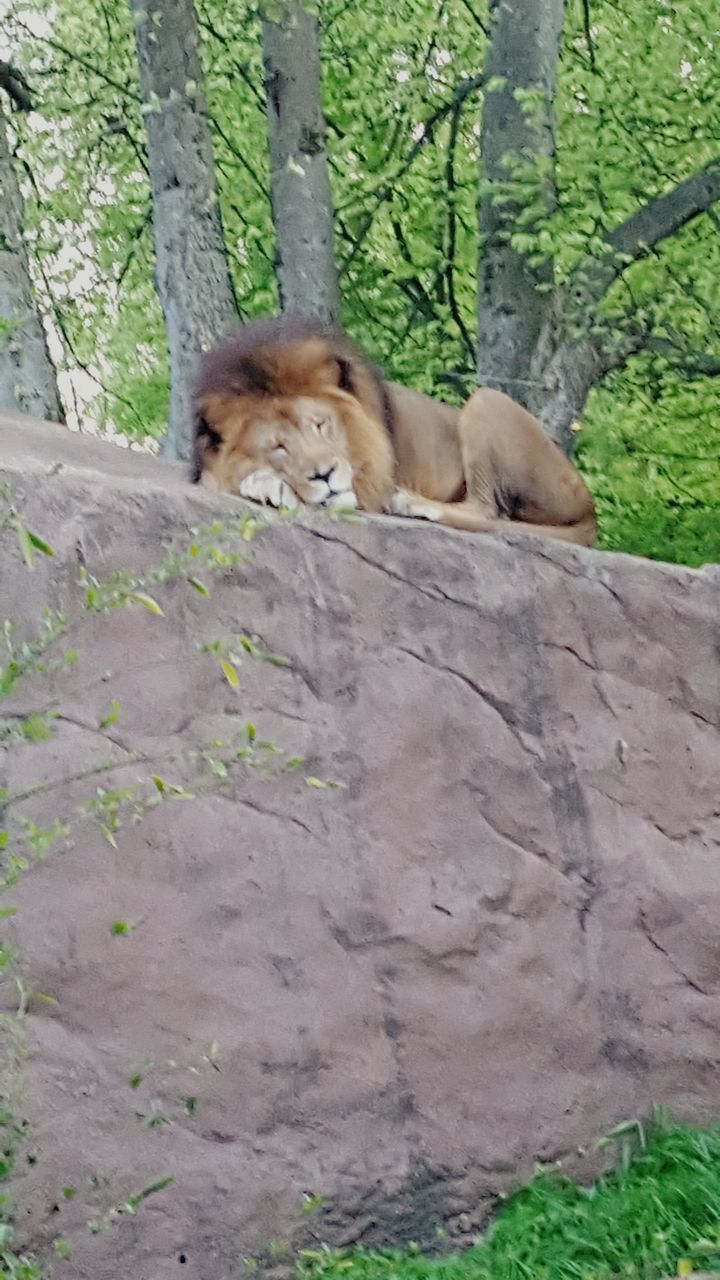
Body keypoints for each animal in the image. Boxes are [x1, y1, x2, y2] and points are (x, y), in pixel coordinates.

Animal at [189, 317, 594, 547]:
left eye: (320, 425)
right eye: (278, 447)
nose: (324, 474)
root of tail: (590, 510)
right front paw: (266, 484)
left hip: (486, 400)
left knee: (489, 511)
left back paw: (409, 502)